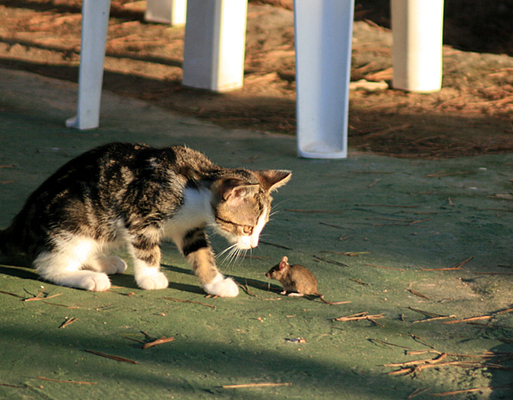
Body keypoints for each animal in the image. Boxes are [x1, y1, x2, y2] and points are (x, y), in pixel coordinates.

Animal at [0, 142, 290, 296]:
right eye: (247, 228)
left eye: (259, 228)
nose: (254, 244)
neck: (193, 187)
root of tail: (20, 223)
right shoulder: (137, 213)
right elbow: (147, 250)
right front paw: (151, 277)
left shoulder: (190, 230)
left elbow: (201, 255)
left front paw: (215, 284)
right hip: (72, 221)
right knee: (48, 264)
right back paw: (87, 278)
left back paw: (104, 262)